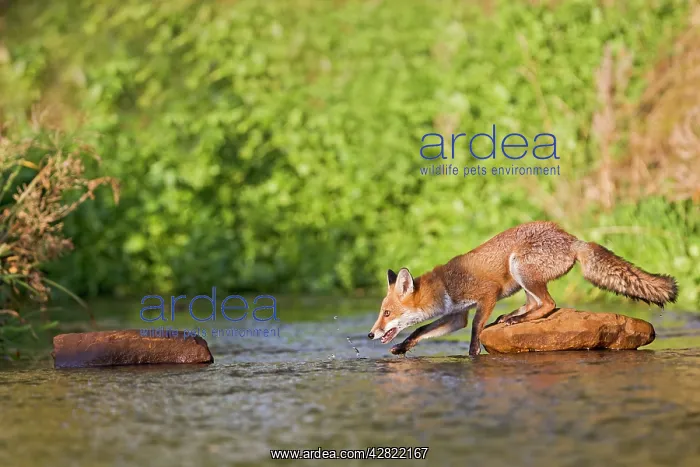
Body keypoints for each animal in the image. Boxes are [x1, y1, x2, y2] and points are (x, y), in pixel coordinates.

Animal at [367, 221, 678, 357]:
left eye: (386, 313)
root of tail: (572, 239)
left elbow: (475, 330)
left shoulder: (487, 294)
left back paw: (516, 319)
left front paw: (473, 354)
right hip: (522, 279)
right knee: (537, 303)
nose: (370, 334)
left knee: (548, 304)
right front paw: (403, 347)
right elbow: (421, 330)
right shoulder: (457, 315)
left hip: (519, 266)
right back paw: (512, 317)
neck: (445, 285)